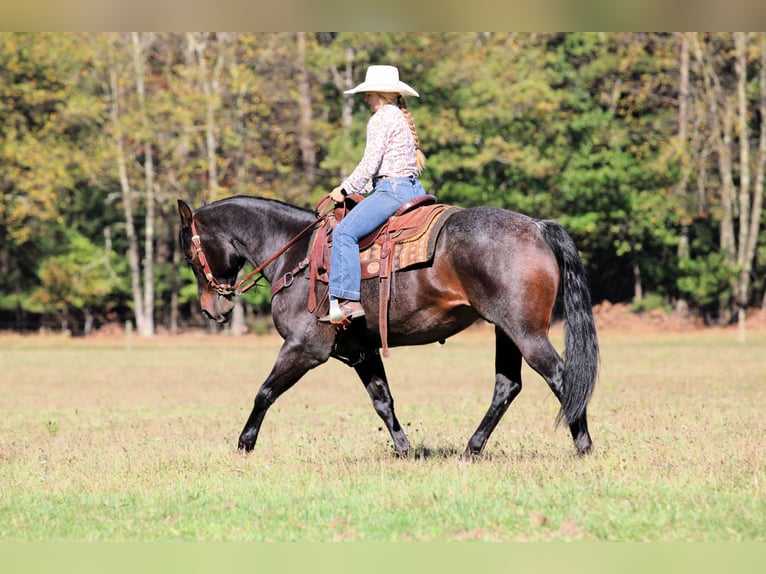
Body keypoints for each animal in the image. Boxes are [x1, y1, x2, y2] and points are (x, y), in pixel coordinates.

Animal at [177, 195, 599, 459]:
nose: (212, 309)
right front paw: (405, 449)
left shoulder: (303, 347)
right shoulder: (361, 350)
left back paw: (583, 446)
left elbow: (264, 393)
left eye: (190, 255)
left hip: (527, 334)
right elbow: (383, 400)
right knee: (507, 387)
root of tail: (537, 227)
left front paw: (244, 444)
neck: (296, 256)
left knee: (562, 378)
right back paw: (471, 449)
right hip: (506, 332)